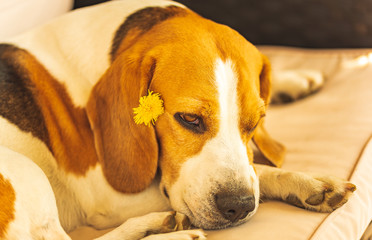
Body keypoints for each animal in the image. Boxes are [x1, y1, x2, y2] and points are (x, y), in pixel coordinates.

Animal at [0, 0, 354, 239]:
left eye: (254, 123)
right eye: (189, 119)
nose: (239, 206)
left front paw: (290, 81)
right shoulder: (111, 197)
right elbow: (262, 172)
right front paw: (308, 180)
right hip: (25, 172)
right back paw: (168, 229)